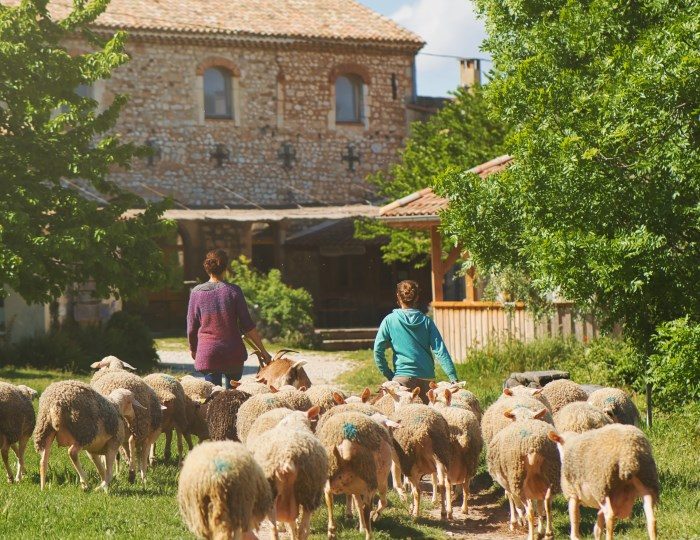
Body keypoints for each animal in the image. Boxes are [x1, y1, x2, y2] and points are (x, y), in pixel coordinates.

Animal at [430, 388, 484, 520]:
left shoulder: (436, 459)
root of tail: (464, 432)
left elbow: (438, 482)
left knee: (447, 484)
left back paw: (448, 512)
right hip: (471, 458)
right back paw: (464, 509)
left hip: (448, 458)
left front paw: (437, 502)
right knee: (466, 484)